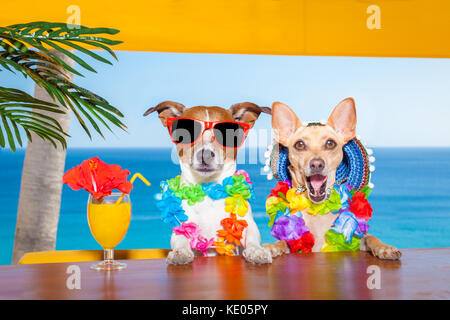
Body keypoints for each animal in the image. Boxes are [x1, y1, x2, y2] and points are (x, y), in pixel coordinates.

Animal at [145, 101, 270, 264]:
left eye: (226, 134)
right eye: (188, 132)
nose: (205, 155)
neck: (209, 188)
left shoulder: (247, 223)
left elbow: (252, 238)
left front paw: (256, 250)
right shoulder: (182, 227)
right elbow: (180, 239)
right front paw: (180, 252)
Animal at [262, 99, 402, 262]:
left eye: (330, 143)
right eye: (299, 145)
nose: (317, 164)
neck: (318, 212)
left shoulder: (355, 240)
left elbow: (370, 237)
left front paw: (384, 247)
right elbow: (283, 241)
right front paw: (272, 246)